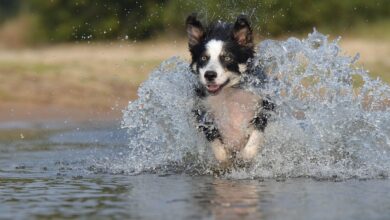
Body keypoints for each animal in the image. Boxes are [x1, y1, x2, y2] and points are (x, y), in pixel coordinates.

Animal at [187, 13, 274, 164]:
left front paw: (245, 156)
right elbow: (216, 143)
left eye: (227, 57)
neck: (228, 92)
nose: (209, 75)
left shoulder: (264, 104)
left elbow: (255, 136)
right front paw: (225, 159)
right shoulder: (201, 109)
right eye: (203, 58)